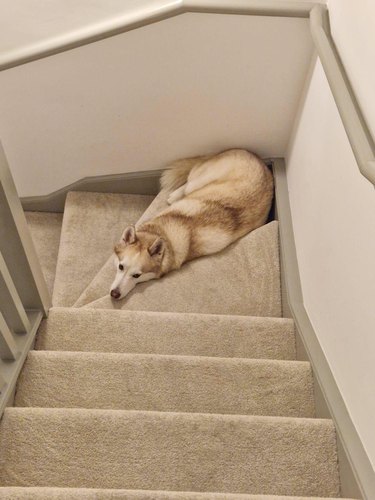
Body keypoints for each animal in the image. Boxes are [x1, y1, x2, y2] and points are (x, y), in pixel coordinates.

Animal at [110, 146, 274, 298]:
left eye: (136, 275)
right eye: (121, 266)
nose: (114, 294)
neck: (164, 236)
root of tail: (254, 156)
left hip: (197, 182)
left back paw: (174, 196)